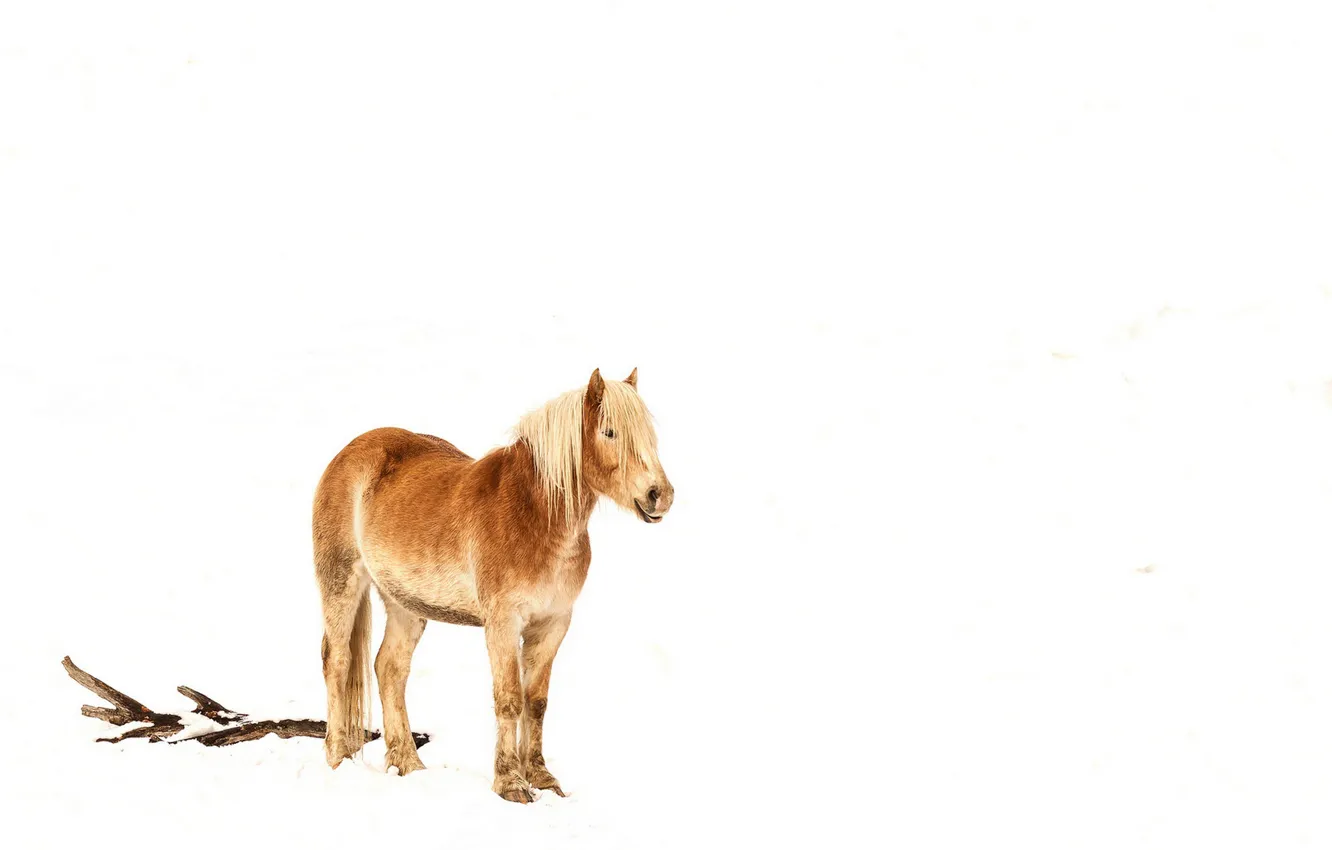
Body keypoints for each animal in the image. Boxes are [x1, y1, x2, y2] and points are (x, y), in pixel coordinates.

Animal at [311, 367, 673, 802]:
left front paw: (542, 778)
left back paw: (409, 764)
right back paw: (336, 758)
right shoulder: (502, 622)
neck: (533, 514)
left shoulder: (553, 624)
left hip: (404, 603)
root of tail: (347, 453)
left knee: (389, 668)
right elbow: (509, 700)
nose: (659, 495)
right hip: (340, 582)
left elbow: (536, 702)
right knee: (337, 661)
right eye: (609, 432)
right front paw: (510, 783)